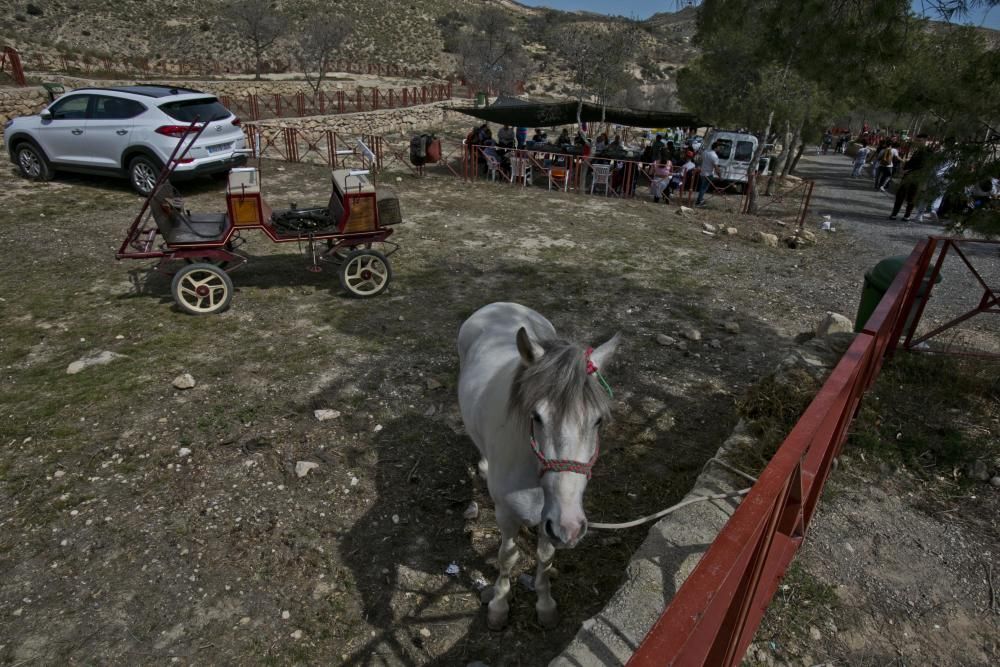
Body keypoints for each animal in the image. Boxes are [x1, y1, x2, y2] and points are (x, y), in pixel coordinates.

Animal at [458, 304, 616, 632]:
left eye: (597, 420)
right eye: (537, 417)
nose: (571, 528)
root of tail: (501, 304)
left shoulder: (550, 519)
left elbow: (545, 557)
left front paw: (545, 605)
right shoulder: (505, 515)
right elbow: (507, 557)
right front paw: (499, 607)